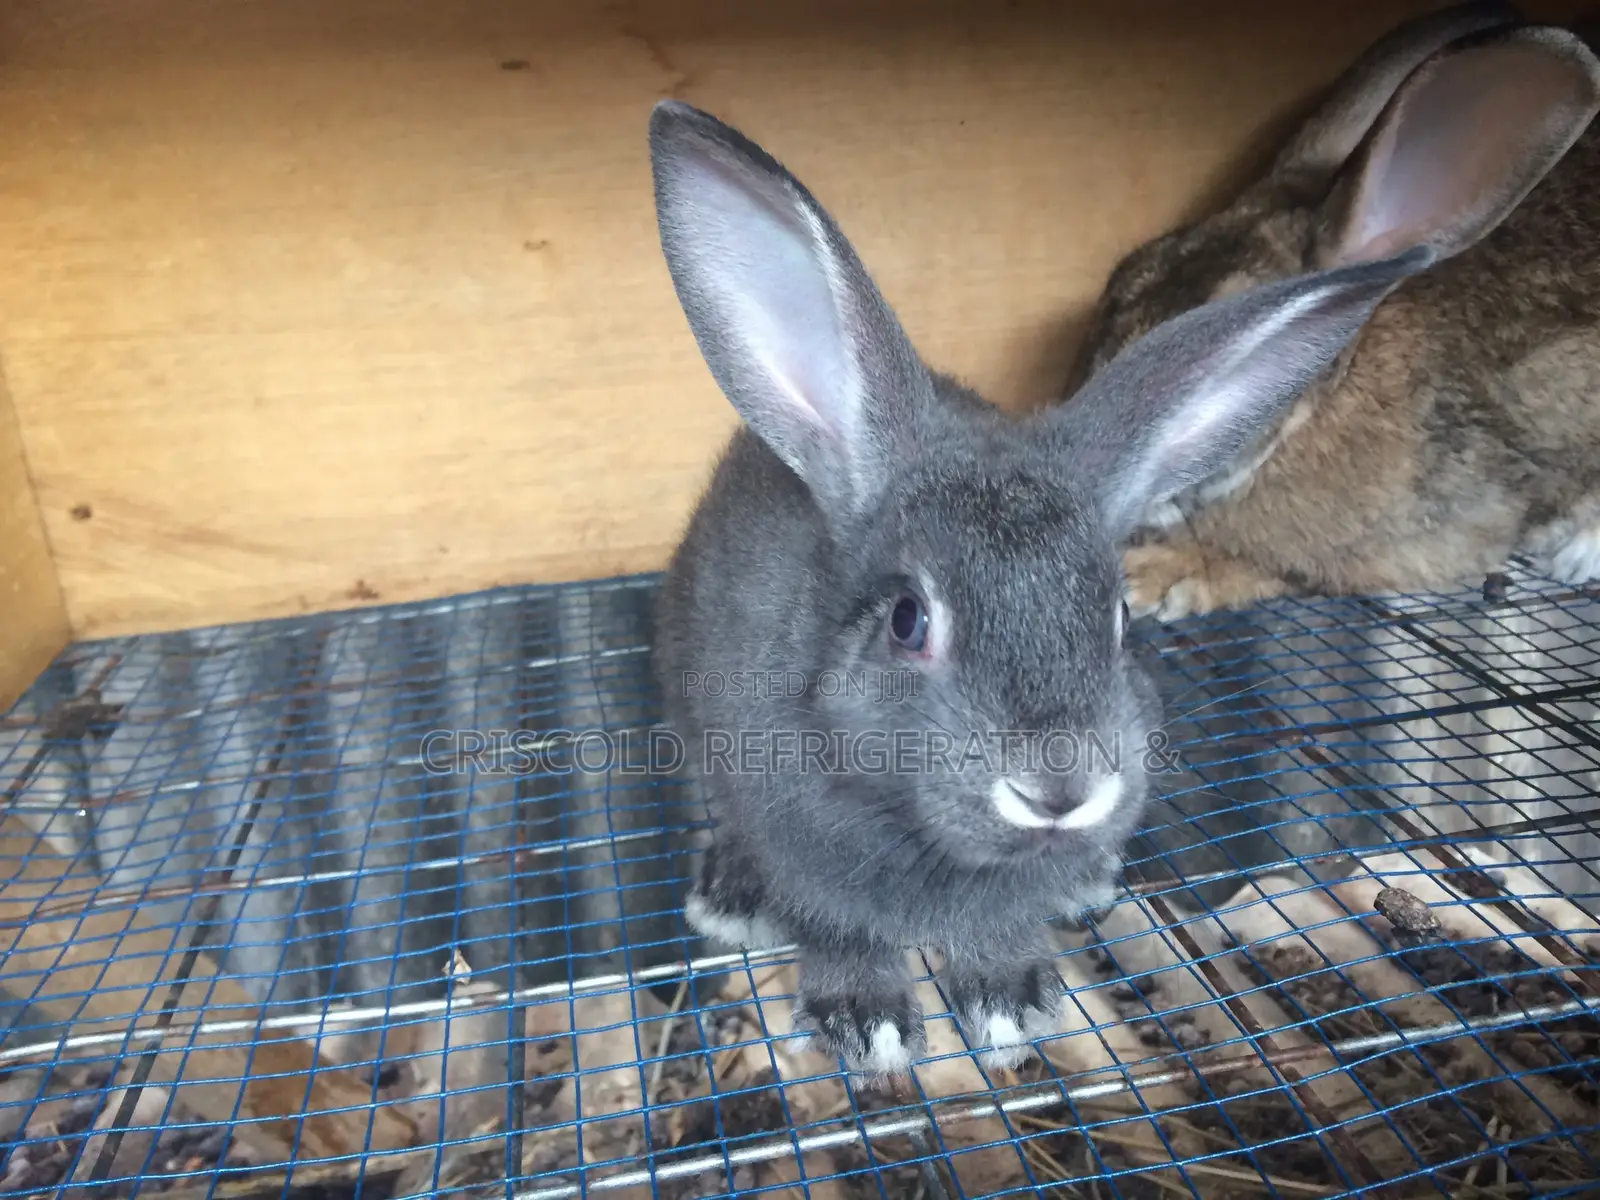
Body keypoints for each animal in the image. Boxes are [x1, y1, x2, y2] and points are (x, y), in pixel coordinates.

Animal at [645, 97, 1439, 1077]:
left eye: (1119, 618)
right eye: (908, 619)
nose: (1060, 788)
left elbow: (1001, 935)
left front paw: (1010, 1001)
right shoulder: (805, 857)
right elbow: (840, 934)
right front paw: (867, 1023)